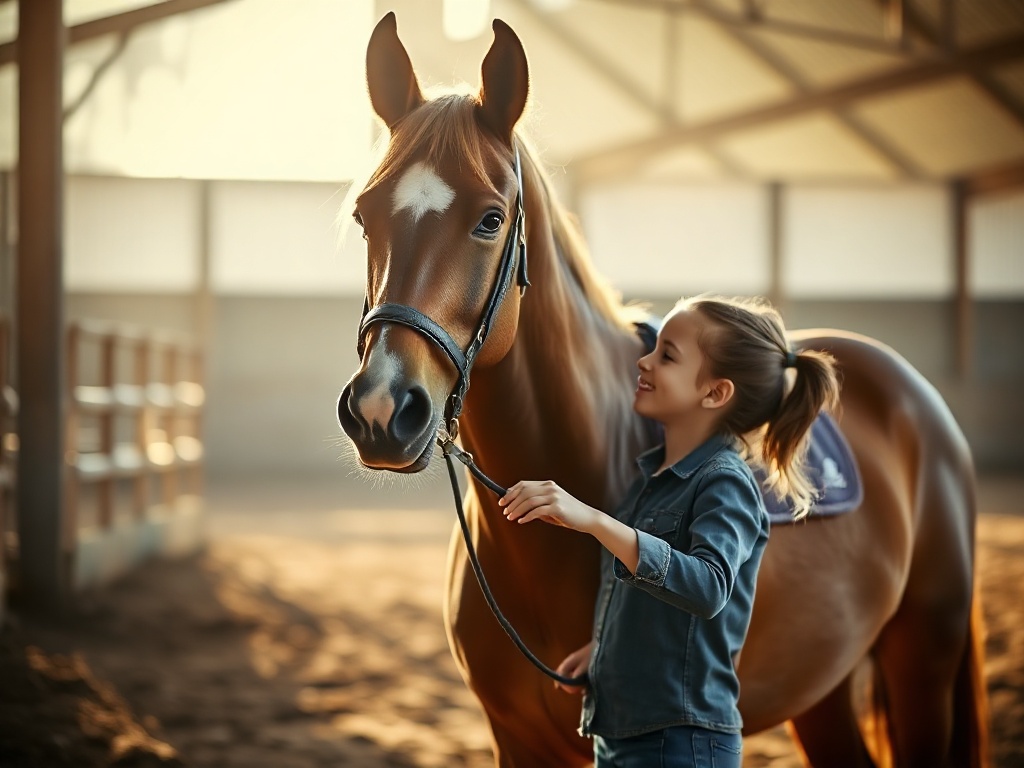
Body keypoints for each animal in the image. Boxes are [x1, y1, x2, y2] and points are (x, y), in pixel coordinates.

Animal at [336, 13, 988, 768]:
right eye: (365, 215)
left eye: (490, 219)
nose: (382, 409)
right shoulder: (515, 737)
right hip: (821, 687)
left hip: (923, 665)